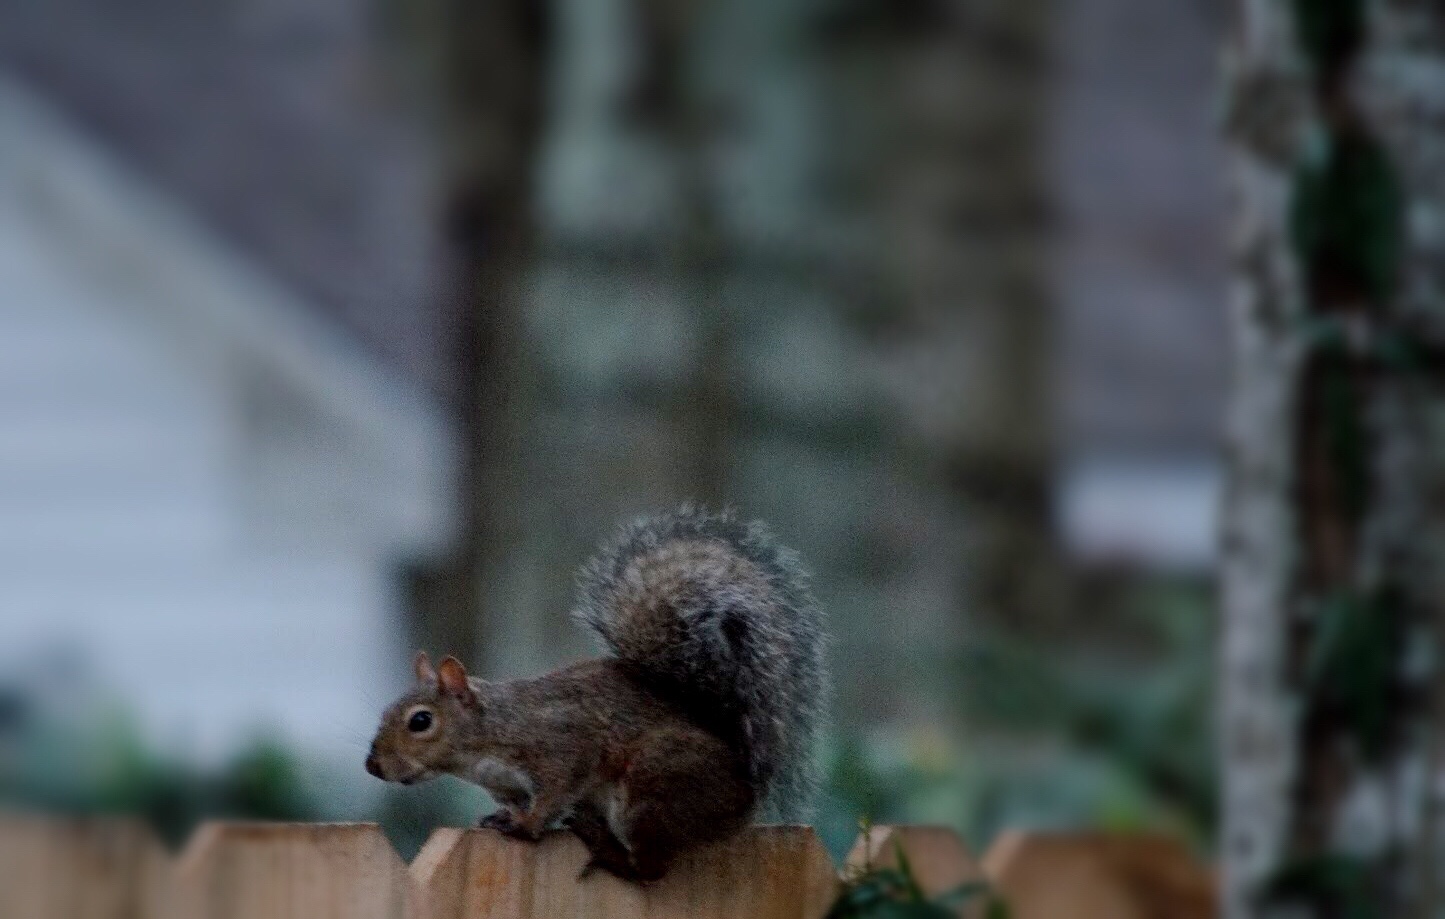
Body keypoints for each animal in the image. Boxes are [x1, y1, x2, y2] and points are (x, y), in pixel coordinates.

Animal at [365, 506, 827, 882]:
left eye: (420, 721)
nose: (373, 766)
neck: (487, 739)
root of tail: (744, 795)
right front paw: (504, 815)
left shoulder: (561, 747)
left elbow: (552, 796)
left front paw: (525, 826)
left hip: (651, 787)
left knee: (650, 870)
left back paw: (608, 853)